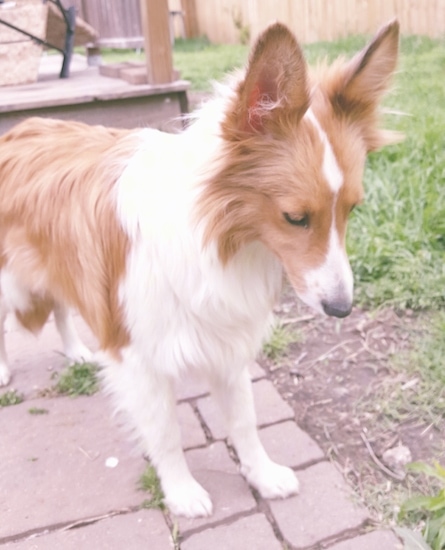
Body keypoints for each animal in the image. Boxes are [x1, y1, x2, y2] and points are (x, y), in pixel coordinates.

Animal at [0, 20, 398, 516]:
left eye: (352, 210)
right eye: (295, 217)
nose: (342, 309)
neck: (218, 237)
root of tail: (20, 128)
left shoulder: (225, 340)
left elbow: (245, 422)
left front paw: (262, 474)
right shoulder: (137, 357)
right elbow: (166, 434)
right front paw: (181, 491)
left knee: (59, 306)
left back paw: (75, 350)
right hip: (11, 282)